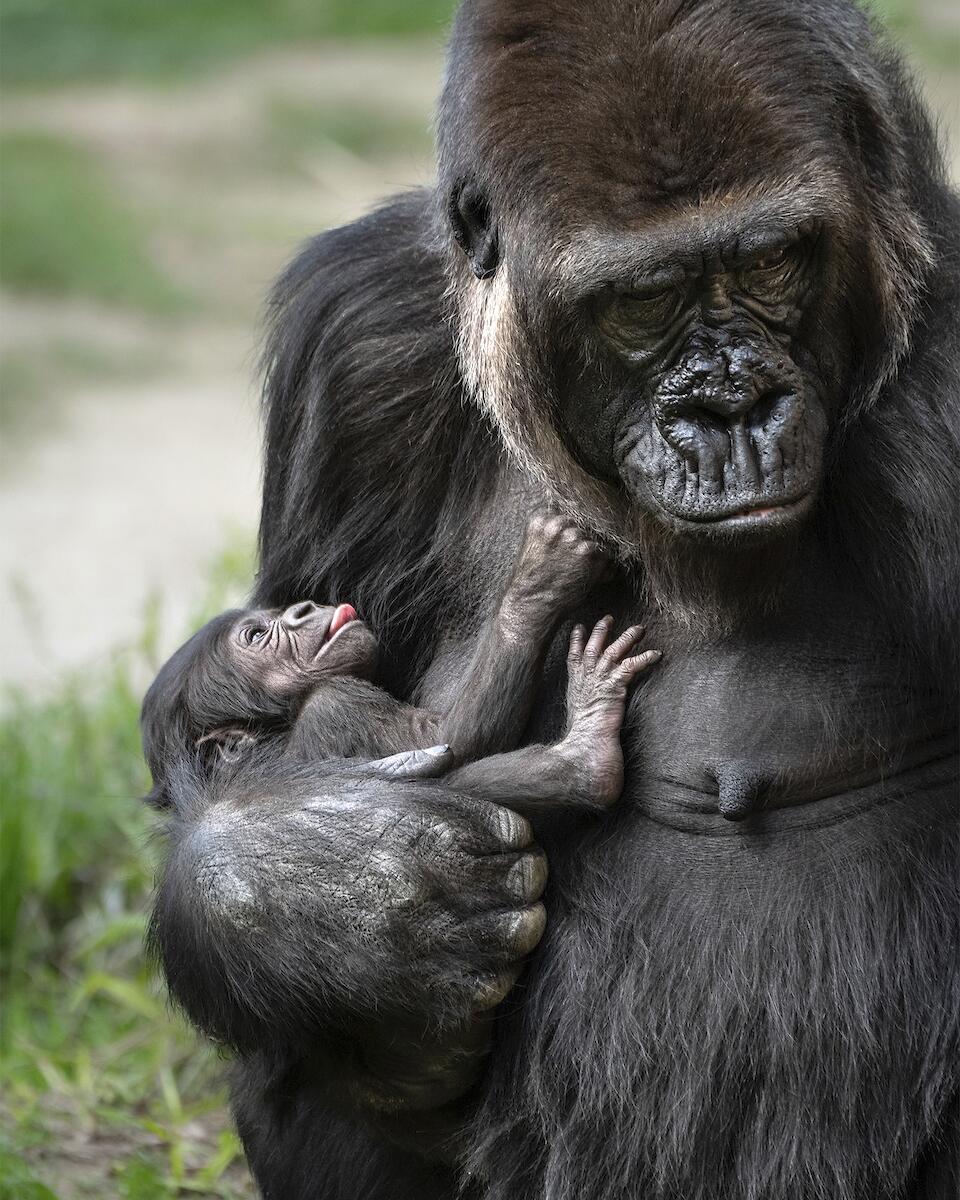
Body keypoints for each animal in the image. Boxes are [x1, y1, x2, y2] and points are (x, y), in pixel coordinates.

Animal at [140, 511, 662, 811]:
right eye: (255, 635)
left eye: (272, 614)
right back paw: (588, 755)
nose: (300, 609)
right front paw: (538, 579)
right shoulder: (338, 705)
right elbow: (447, 739)